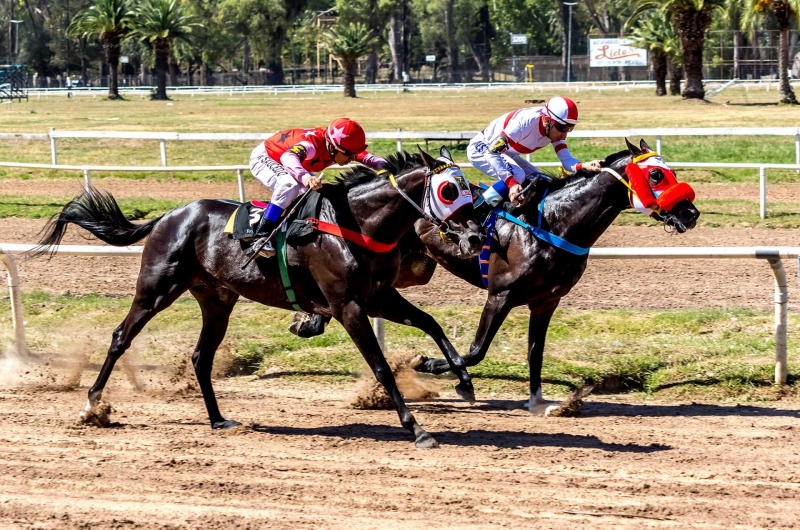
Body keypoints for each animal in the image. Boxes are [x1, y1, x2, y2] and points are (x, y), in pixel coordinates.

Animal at [34, 148, 484, 446]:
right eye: (449, 191)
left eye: (470, 190)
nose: (477, 237)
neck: (355, 224)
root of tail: (169, 215)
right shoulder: (348, 307)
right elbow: (381, 368)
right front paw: (417, 428)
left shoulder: (378, 297)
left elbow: (431, 323)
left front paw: (462, 380)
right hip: (156, 288)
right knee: (121, 337)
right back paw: (92, 405)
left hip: (217, 299)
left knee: (201, 357)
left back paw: (218, 420)